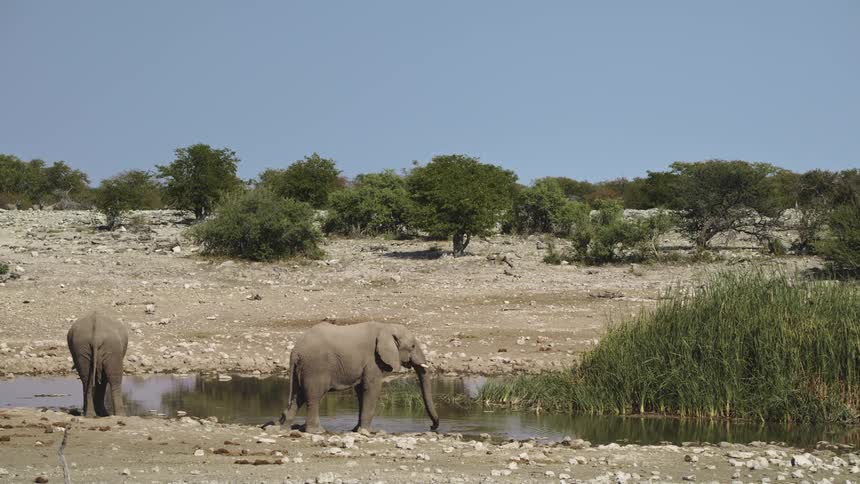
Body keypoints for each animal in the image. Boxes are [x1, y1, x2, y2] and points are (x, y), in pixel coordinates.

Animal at [277, 321, 439, 433]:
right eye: (412, 346)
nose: (432, 427)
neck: (385, 327)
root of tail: (295, 351)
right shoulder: (373, 360)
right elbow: (372, 388)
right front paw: (368, 431)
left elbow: (361, 391)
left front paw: (357, 430)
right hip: (315, 367)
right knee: (313, 396)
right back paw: (316, 431)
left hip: (302, 368)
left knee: (298, 395)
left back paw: (285, 427)